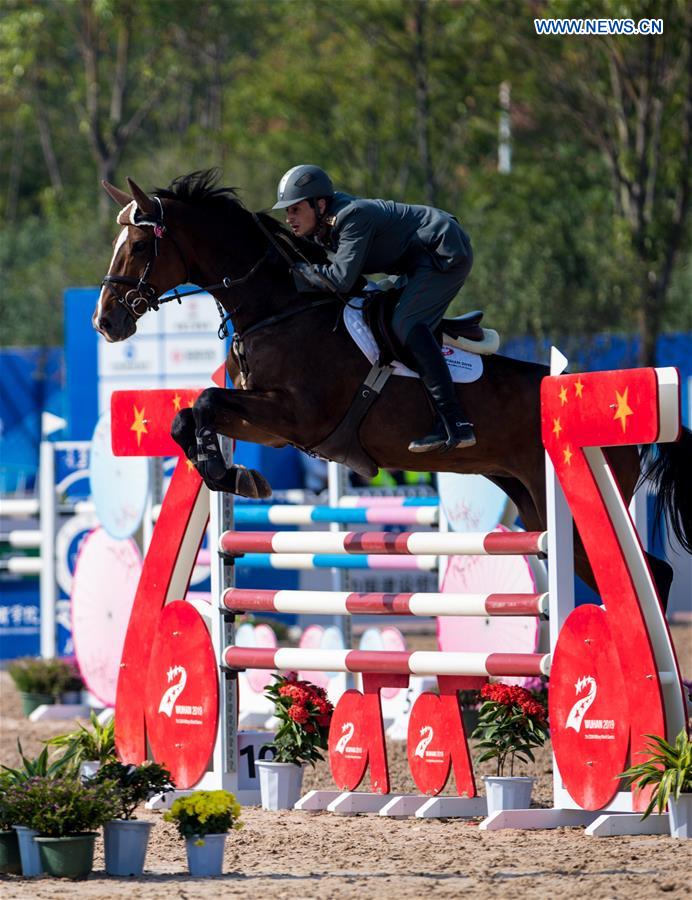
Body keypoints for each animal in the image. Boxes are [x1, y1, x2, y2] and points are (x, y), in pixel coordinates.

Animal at [94, 171, 688, 604]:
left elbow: (207, 400)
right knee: (644, 570)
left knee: (652, 573)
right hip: (532, 501)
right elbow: (189, 414)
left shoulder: (293, 416)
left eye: (141, 244)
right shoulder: (270, 425)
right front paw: (231, 473)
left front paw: (229, 474)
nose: (106, 322)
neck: (278, 309)